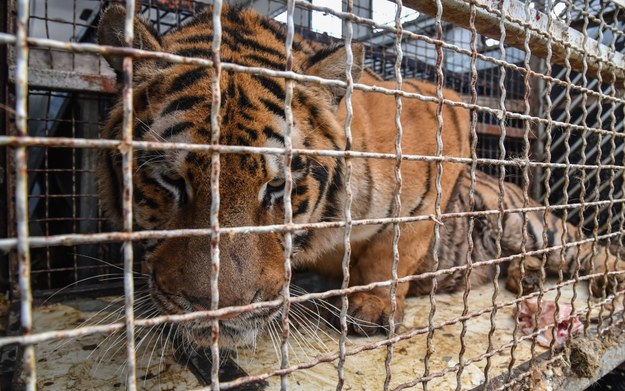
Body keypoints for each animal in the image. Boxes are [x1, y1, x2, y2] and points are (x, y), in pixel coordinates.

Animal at [96, 3, 624, 346]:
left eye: (277, 187)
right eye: (171, 181)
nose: (224, 311)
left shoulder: (444, 120)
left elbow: (392, 251)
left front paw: (370, 309)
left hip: (534, 226)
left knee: (592, 250)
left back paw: (603, 281)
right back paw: (526, 278)